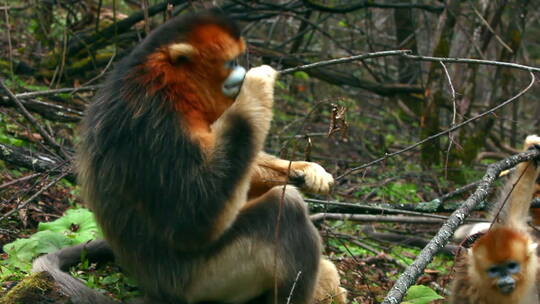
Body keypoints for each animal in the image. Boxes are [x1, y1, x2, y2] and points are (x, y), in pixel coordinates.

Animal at [33, 10, 346, 304]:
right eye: (231, 62)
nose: (243, 72)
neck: (171, 86)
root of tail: (155, 289)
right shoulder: (157, 120)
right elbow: (194, 221)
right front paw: (257, 84)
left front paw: (307, 169)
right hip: (201, 282)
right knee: (287, 207)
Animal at [450, 135, 540, 304]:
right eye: (494, 270)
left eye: (511, 266)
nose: (505, 280)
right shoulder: (469, 284)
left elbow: (514, 202)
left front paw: (532, 150)